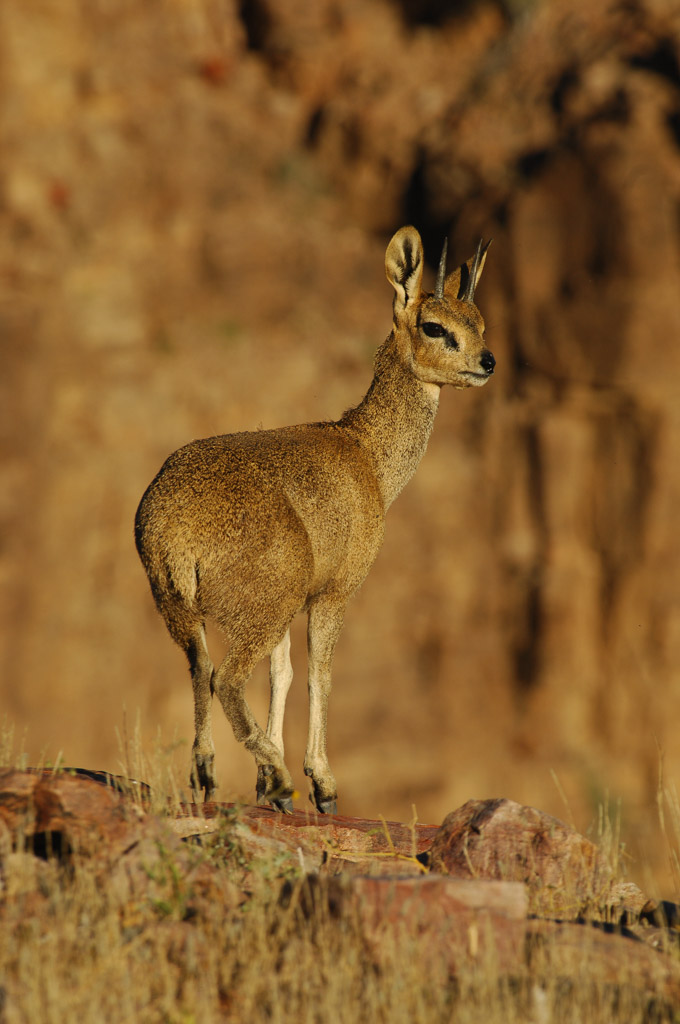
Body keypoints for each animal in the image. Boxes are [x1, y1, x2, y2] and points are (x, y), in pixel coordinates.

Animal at [134, 228, 493, 811]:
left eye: (479, 320)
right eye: (434, 326)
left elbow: (282, 674)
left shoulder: (296, 606)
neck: (368, 456)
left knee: (201, 668)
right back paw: (280, 776)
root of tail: (173, 529)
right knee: (226, 678)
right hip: (262, 605)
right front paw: (319, 783)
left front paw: (267, 787)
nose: (487, 362)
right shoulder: (333, 593)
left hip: (181, 608)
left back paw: (212, 772)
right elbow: (318, 675)